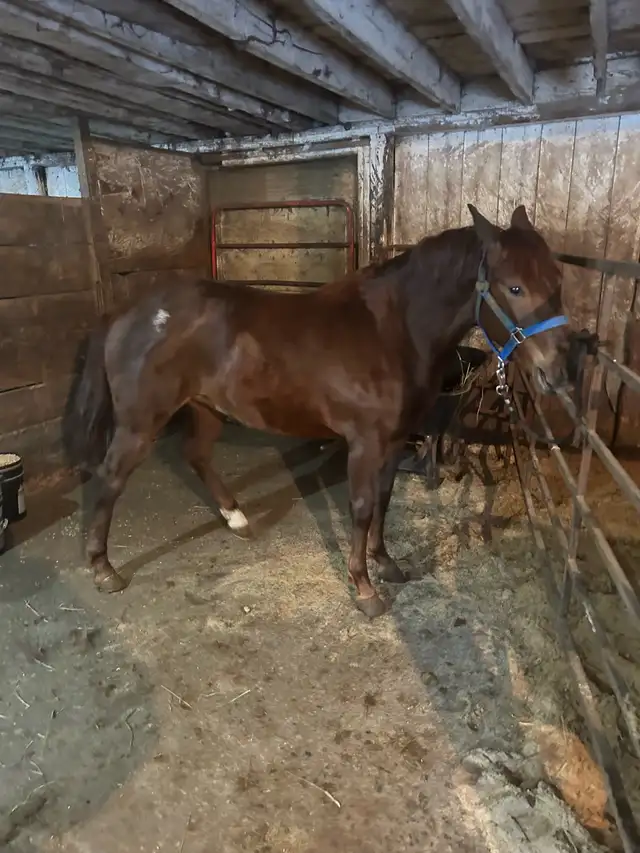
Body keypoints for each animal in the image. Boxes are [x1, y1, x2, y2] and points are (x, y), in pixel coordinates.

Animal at [65, 203, 574, 619]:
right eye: (514, 287)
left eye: (558, 281)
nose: (557, 373)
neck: (391, 331)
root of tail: (127, 312)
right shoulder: (365, 443)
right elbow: (362, 507)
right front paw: (365, 590)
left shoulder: (393, 440)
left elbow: (385, 499)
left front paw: (387, 564)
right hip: (139, 423)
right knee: (112, 477)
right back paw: (104, 568)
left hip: (207, 407)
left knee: (196, 455)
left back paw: (237, 519)